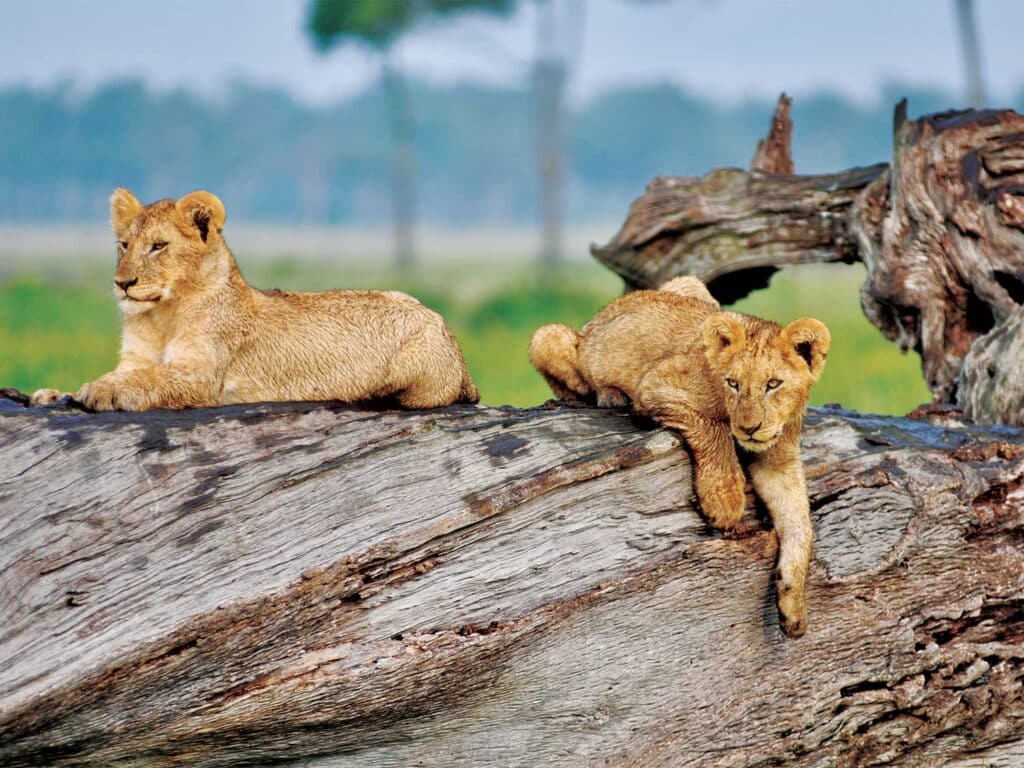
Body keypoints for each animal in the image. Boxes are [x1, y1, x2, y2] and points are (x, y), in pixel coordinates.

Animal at [32, 189, 479, 411]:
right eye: (123, 245)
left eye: (158, 246)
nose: (122, 283)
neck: (161, 315)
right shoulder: (135, 358)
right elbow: (129, 373)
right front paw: (51, 394)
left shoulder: (202, 376)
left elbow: (151, 379)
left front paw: (99, 391)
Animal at [529, 276, 830, 637]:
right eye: (733, 383)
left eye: (773, 384)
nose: (750, 428)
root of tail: (602, 314)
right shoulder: (657, 385)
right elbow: (714, 428)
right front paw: (724, 501)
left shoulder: (778, 459)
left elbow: (800, 522)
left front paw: (793, 606)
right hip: (547, 337)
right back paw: (610, 395)